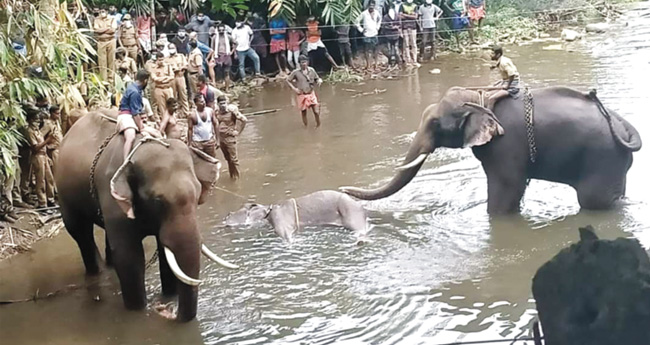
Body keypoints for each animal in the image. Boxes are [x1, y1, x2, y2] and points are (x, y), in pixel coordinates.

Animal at [53, 107, 235, 320]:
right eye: (157, 200)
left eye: (198, 194)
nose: (170, 312)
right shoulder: (111, 193)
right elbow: (129, 256)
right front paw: (138, 310)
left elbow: (165, 252)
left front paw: (169, 297)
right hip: (64, 194)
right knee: (81, 233)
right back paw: (97, 273)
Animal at [224, 191, 370, 242]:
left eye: (231, 213)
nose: (226, 216)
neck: (268, 212)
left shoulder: (282, 224)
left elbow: (286, 236)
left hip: (351, 215)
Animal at [342, 86, 640, 214]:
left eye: (436, 123)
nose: (342, 190)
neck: (481, 97)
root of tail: (625, 126)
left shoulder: (504, 146)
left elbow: (507, 188)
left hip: (602, 158)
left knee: (593, 201)